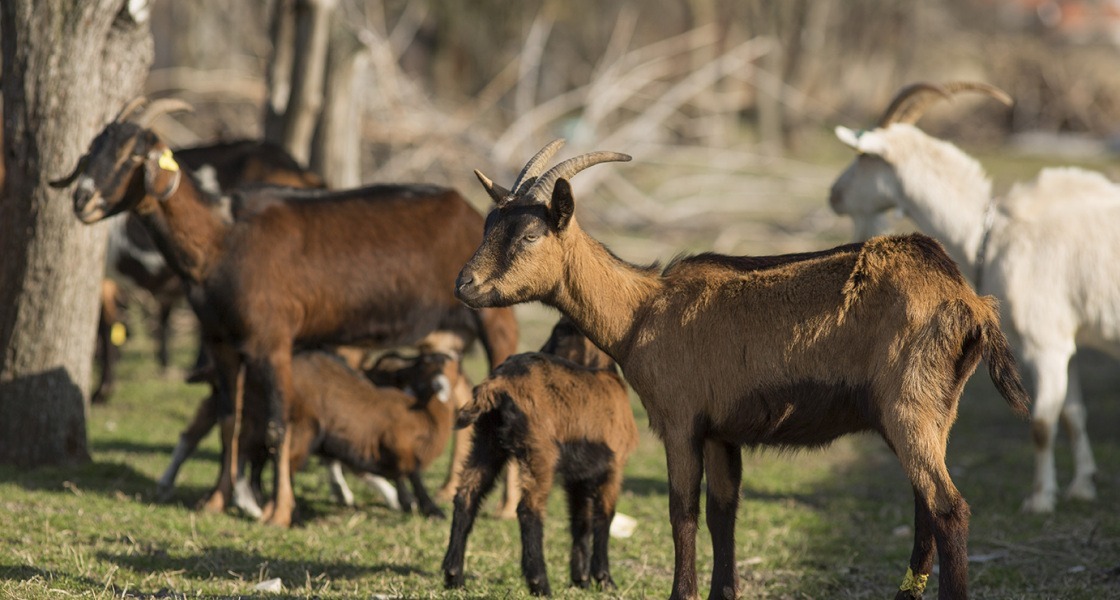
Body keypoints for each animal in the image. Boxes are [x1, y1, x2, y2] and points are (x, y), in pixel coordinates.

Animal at [51, 98, 519, 523]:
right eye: (92, 150)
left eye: (134, 155)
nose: (82, 200)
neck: (221, 240)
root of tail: (467, 210)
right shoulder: (221, 342)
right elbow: (231, 421)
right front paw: (216, 501)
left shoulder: (272, 341)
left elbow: (279, 427)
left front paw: (277, 511)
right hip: (443, 336)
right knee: (458, 391)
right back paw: (447, 490)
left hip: (494, 318)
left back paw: (506, 507)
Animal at [443, 317, 640, 595]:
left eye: (559, 331)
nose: (545, 349)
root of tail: (497, 384)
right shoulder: (613, 468)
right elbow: (604, 517)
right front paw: (604, 580)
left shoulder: (578, 475)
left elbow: (580, 520)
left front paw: (581, 579)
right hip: (538, 451)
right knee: (529, 509)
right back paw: (540, 582)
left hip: (486, 443)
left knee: (466, 496)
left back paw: (454, 576)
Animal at [833, 80, 1120, 510]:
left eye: (864, 156)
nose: (833, 195)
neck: (990, 234)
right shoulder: (1064, 340)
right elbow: (1073, 415)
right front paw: (1082, 486)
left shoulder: (1044, 343)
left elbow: (1041, 424)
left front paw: (1040, 500)